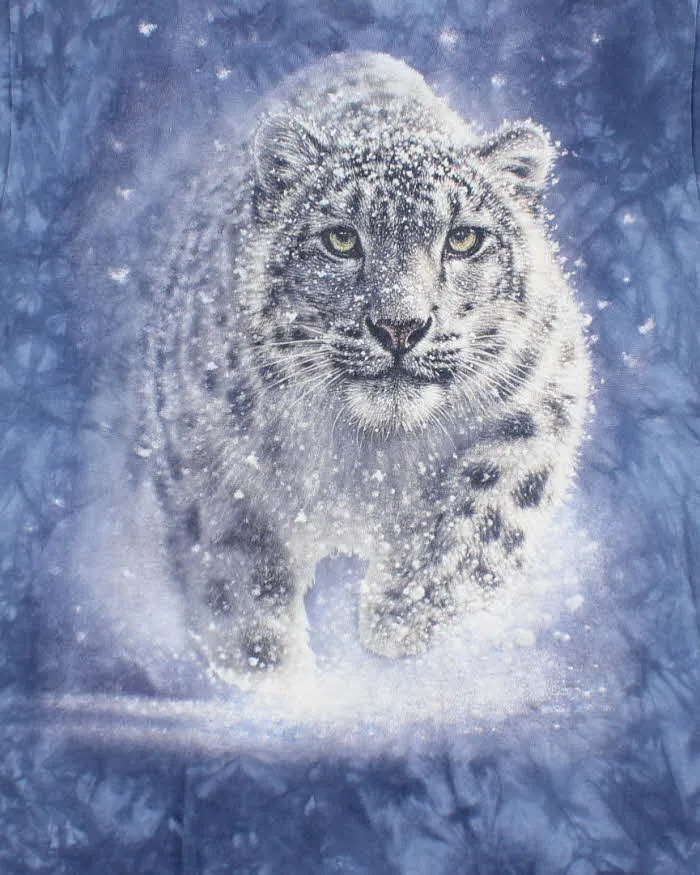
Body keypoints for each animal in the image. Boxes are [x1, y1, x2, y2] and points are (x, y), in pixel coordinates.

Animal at [143, 51, 590, 680]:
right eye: (341, 239)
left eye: (463, 238)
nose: (399, 326)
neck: (370, 457)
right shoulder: (204, 446)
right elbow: (233, 573)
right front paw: (271, 676)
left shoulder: (539, 400)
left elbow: (485, 513)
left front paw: (400, 619)